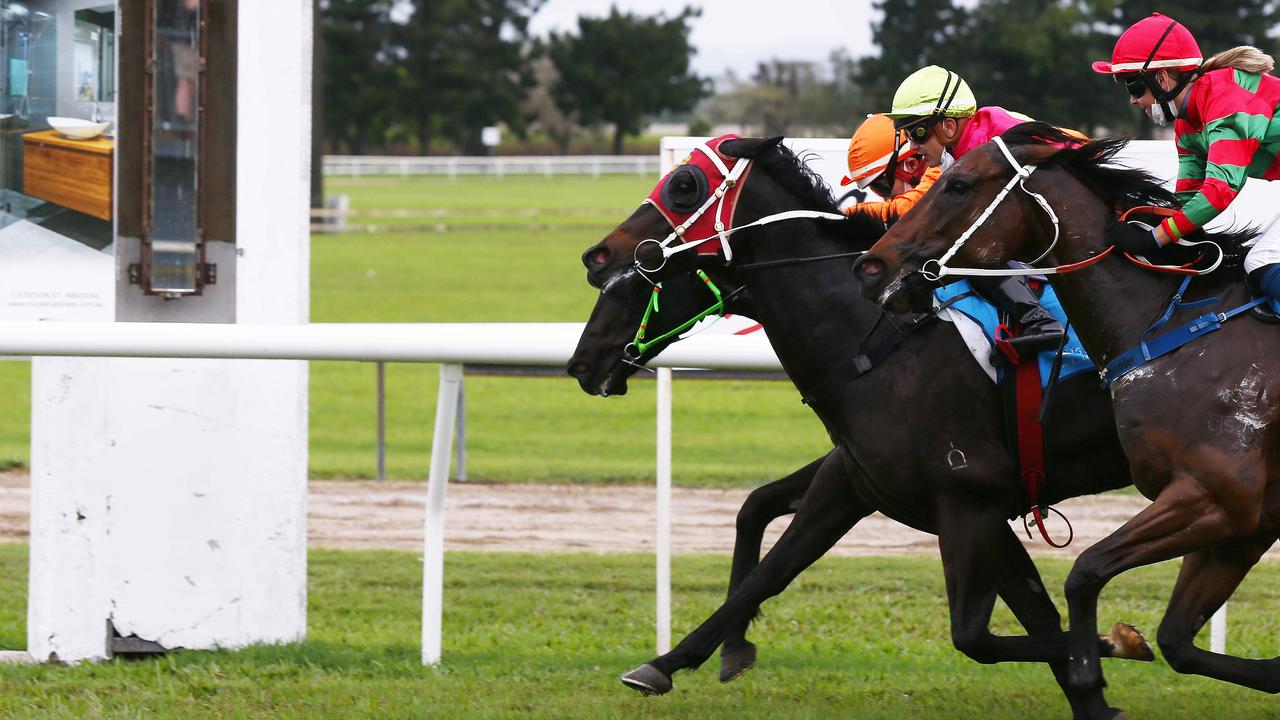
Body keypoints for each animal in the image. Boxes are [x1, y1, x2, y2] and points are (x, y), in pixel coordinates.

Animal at [565, 135, 1146, 717]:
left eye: (684, 185)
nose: (597, 258)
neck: (878, 338)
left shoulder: (969, 497)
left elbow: (978, 634)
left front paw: (1112, 646)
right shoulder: (869, 484)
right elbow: (768, 558)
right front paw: (680, 660)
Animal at [855, 122, 1280, 712]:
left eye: (958, 185)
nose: (872, 267)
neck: (1172, 328)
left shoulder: (1214, 496)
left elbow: (1084, 571)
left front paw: (1089, 671)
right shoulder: (1242, 522)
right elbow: (1175, 640)